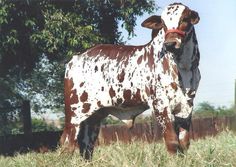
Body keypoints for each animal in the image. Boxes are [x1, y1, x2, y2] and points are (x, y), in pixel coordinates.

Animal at [60, 2, 200, 159]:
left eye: (185, 19)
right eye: (163, 23)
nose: (170, 44)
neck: (184, 66)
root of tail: (75, 58)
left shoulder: (186, 106)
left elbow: (184, 143)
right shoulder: (160, 104)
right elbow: (172, 141)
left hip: (93, 117)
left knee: (86, 144)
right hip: (74, 113)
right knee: (67, 142)